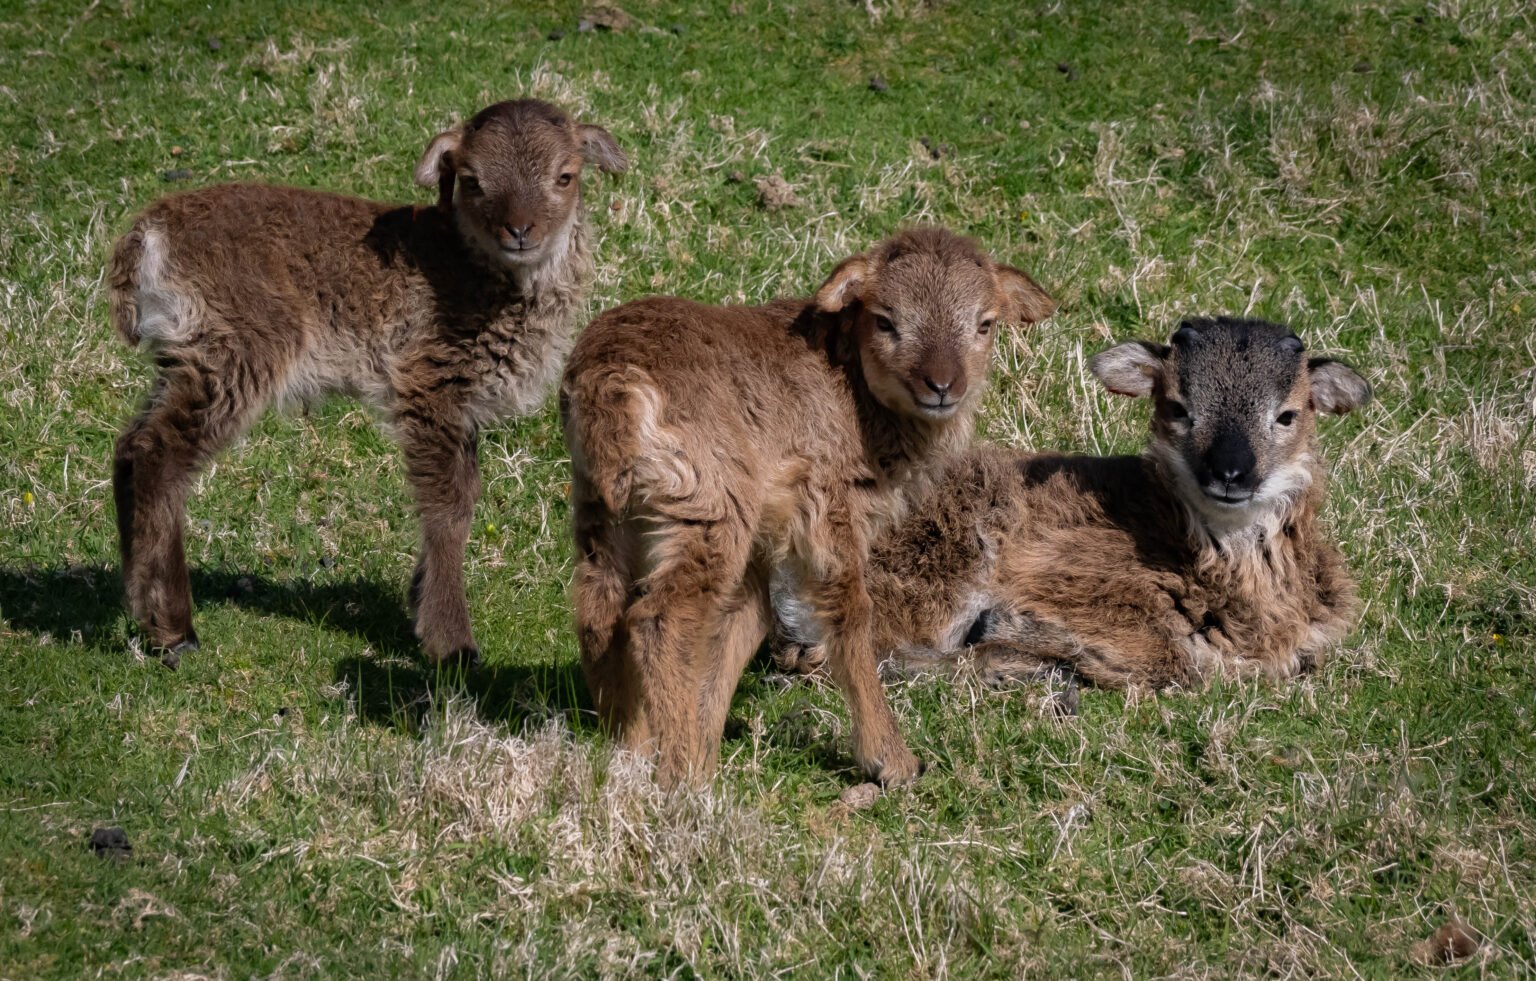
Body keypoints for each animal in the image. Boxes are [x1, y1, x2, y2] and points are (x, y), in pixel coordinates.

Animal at [107, 98, 627, 667]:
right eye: (472, 180)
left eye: (566, 176)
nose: (519, 230)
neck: (471, 270)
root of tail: (147, 237)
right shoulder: (428, 379)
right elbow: (447, 504)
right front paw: (451, 642)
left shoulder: (461, 401)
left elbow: (466, 491)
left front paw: (419, 602)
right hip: (239, 346)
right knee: (161, 455)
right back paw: (174, 629)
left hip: (186, 354)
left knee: (131, 446)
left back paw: (136, 604)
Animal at [560, 228, 1055, 787]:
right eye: (885, 320)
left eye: (984, 324)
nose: (942, 386)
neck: (856, 393)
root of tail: (611, 382)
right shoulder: (828, 504)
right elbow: (852, 613)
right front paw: (891, 761)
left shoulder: (766, 539)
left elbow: (742, 624)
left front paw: (706, 750)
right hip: (706, 502)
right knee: (658, 620)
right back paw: (678, 775)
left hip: (604, 507)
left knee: (598, 609)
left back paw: (630, 752)